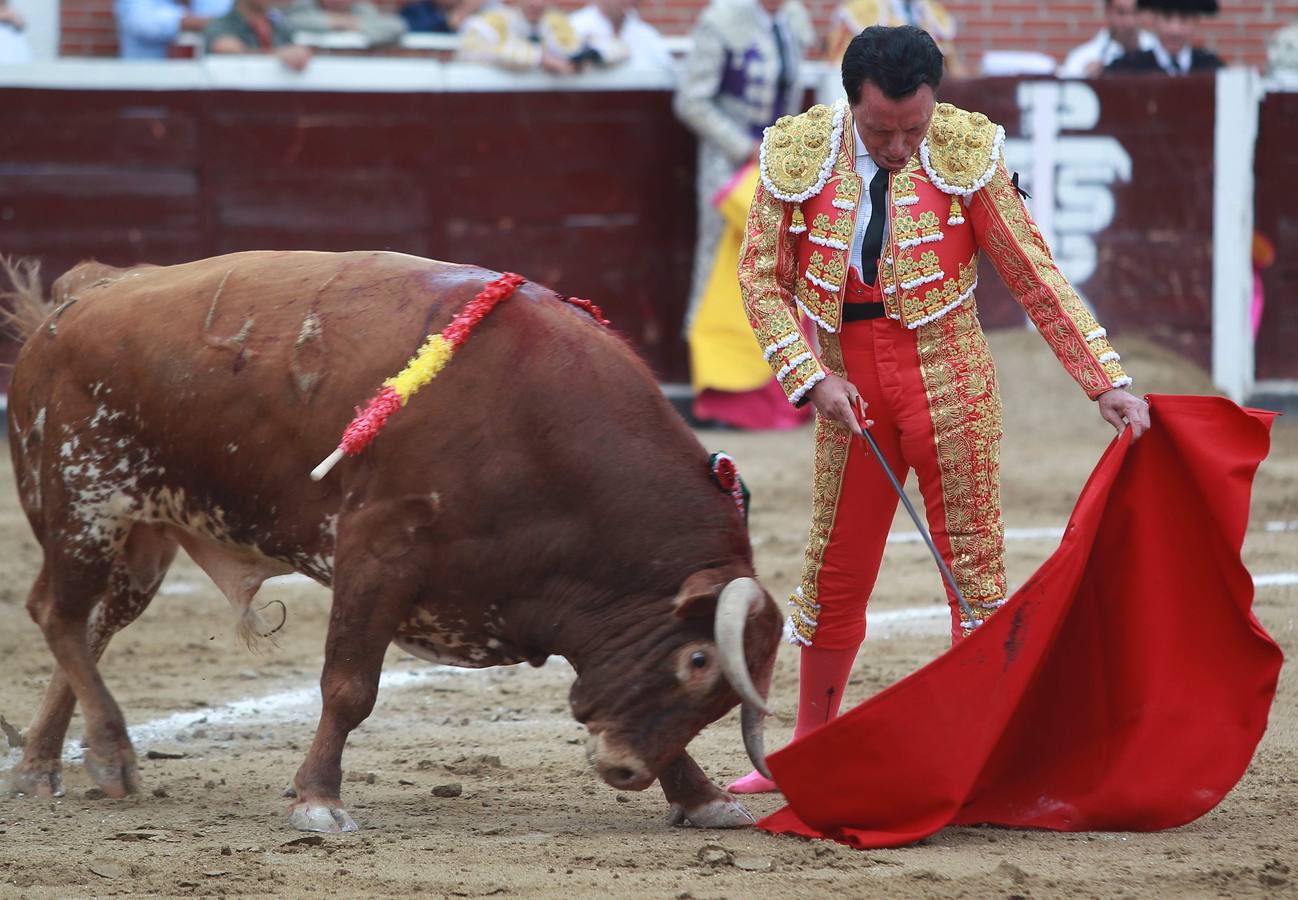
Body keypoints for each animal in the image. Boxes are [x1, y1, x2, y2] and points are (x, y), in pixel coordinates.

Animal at [2, 249, 778, 831]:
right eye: (699, 661)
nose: (622, 770)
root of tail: (79, 297)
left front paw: (702, 798)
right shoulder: (375, 549)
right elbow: (349, 687)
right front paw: (317, 802)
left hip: (140, 542)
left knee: (92, 630)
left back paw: (43, 766)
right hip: (82, 507)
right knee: (57, 615)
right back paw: (109, 752)